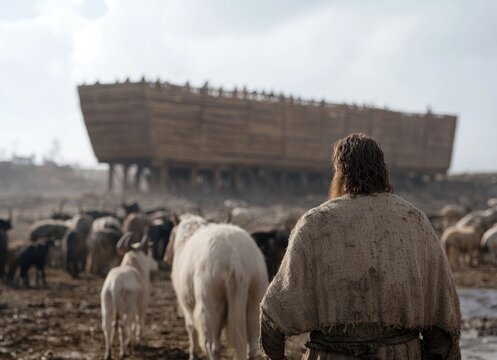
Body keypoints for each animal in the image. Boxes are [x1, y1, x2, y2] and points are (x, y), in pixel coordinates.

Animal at [165, 215, 268, 358]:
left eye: (171, 233)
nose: (166, 258)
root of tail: (234, 258)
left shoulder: (187, 305)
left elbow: (191, 328)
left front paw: (193, 354)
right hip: (254, 301)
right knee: (252, 346)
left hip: (210, 304)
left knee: (213, 346)